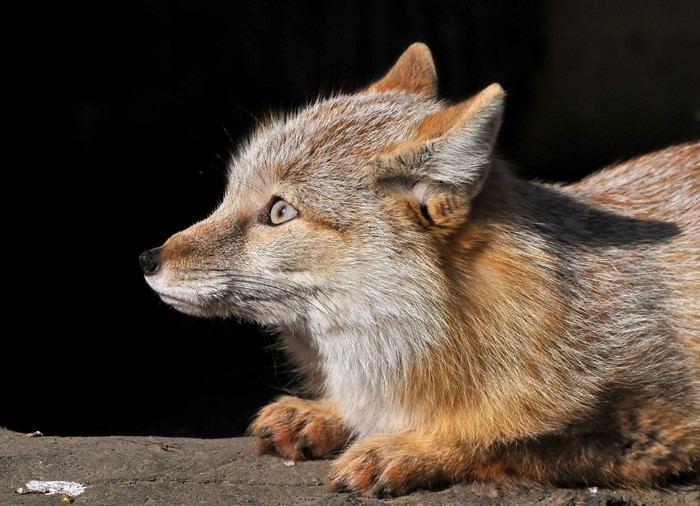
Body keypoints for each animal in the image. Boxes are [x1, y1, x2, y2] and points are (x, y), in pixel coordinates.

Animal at [139, 42, 700, 497]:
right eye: (229, 195)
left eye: (279, 212)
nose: (147, 259)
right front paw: (327, 413)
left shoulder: (656, 430)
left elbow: (500, 440)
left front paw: (408, 448)